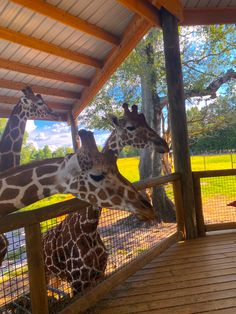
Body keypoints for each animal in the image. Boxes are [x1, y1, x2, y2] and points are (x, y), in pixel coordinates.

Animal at [42, 103, 170, 294]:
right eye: (130, 127)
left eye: (146, 121)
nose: (164, 144)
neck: (89, 227)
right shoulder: (78, 282)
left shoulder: (99, 274)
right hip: (47, 274)